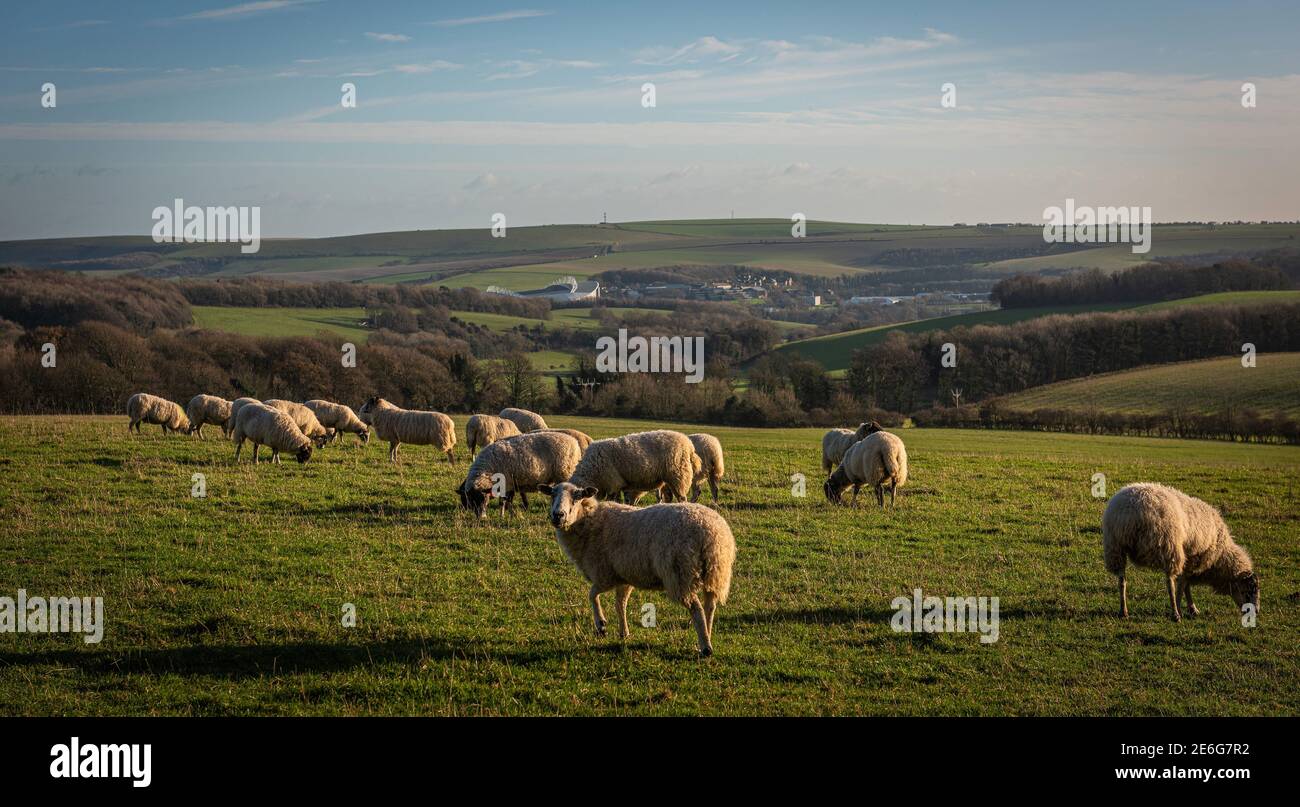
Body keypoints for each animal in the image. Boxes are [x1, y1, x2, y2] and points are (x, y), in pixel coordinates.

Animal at [540, 478, 743, 654]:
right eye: (552, 495)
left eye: (577, 496)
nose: (558, 516)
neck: (589, 523)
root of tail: (710, 534)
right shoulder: (624, 576)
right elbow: (620, 604)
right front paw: (624, 633)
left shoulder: (604, 574)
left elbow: (592, 595)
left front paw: (601, 625)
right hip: (715, 573)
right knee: (710, 606)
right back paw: (707, 635)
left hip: (680, 575)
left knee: (697, 609)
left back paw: (705, 647)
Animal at [569, 428, 702, 504]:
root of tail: (689, 445)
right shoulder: (617, 484)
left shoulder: (613, 482)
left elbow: (612, 499)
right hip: (668, 479)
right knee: (669, 497)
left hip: (678, 475)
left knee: (682, 498)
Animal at [1102, 480, 1263, 621]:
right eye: (1249, 590)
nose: (1256, 611)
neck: (1220, 558)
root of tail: (1131, 512)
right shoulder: (1193, 560)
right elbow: (1182, 586)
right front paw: (1185, 608)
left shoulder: (1190, 562)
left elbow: (1186, 585)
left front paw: (1192, 609)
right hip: (1168, 546)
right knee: (1170, 584)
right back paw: (1175, 614)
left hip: (1115, 547)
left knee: (1122, 580)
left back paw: (1123, 611)